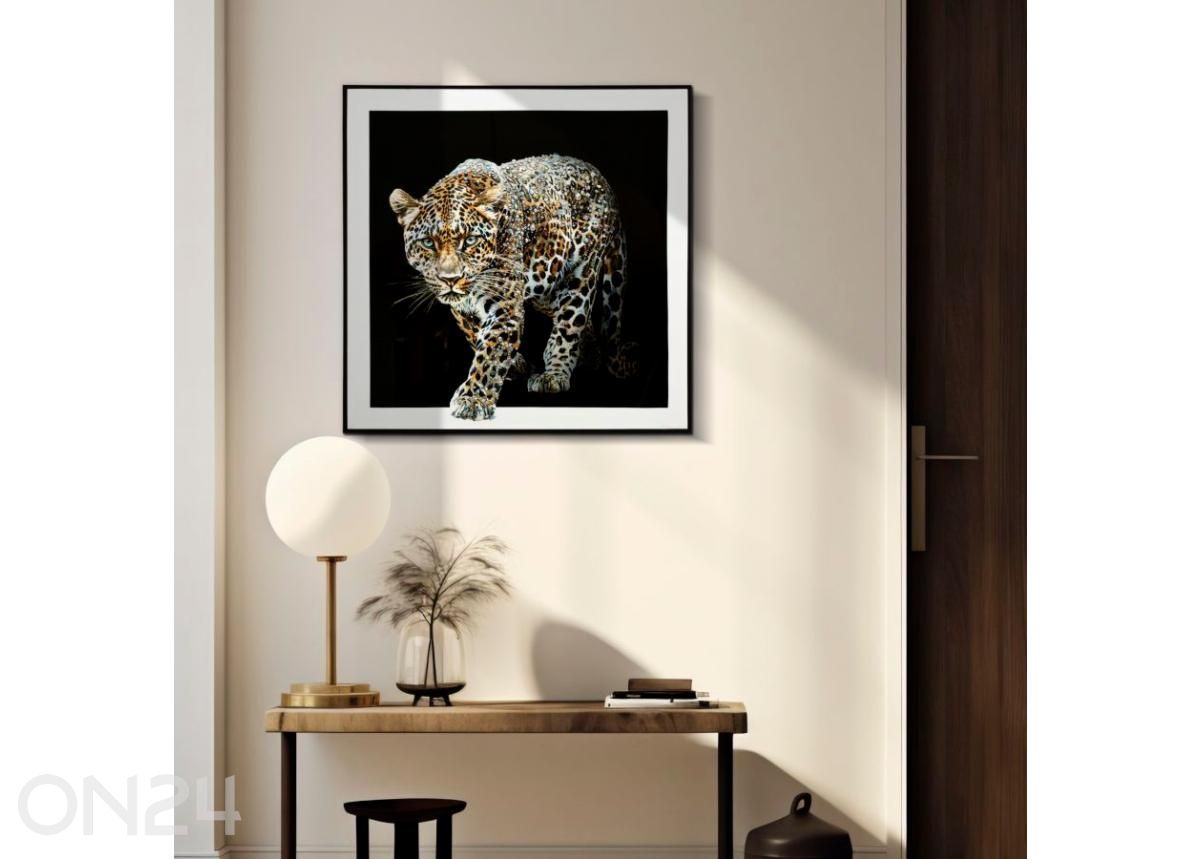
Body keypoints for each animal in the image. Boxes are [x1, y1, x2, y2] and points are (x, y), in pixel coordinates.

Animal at [389, 154, 637, 421]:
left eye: (470, 241)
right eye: (427, 243)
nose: (450, 279)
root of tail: (601, 177)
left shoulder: (505, 306)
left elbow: (490, 353)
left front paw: (472, 399)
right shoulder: (463, 308)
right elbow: (475, 333)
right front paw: (515, 364)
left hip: (580, 273)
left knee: (570, 323)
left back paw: (555, 374)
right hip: (545, 283)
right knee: (581, 321)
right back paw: (589, 357)